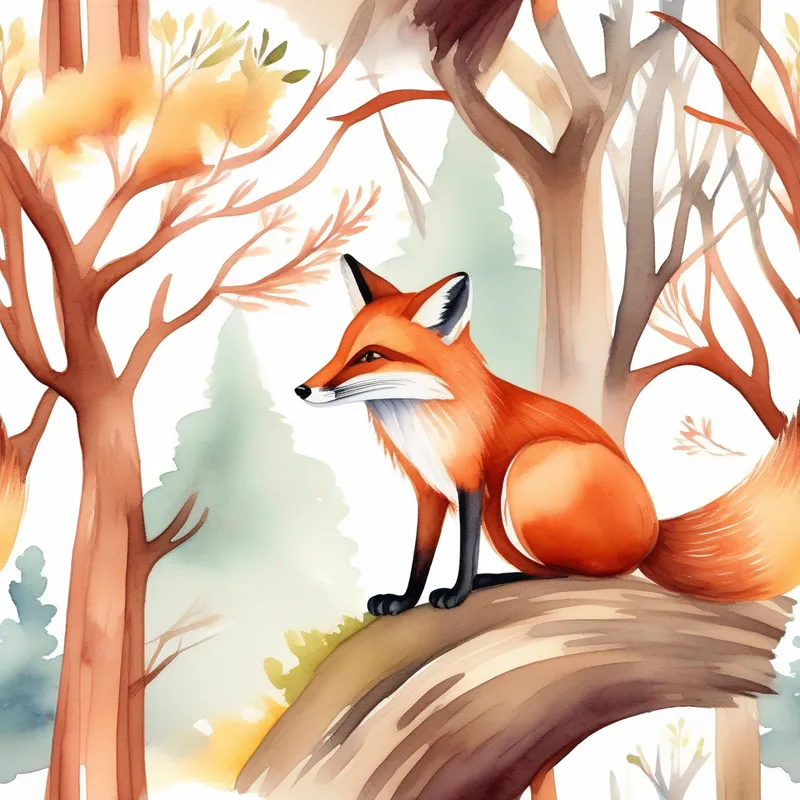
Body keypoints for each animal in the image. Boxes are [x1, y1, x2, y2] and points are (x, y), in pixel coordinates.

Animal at [295, 254, 800, 616]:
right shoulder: (428, 490)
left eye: (370, 356)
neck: (425, 423)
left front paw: (456, 594)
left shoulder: (471, 479)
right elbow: (420, 554)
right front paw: (403, 601)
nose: (302, 389)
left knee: (575, 575)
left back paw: (492, 581)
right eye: (339, 348)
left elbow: (464, 551)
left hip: (527, 473)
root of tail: (655, 533)